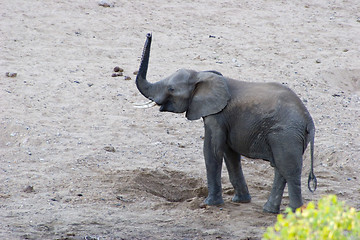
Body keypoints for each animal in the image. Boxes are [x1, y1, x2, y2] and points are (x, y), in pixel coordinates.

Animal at [134, 32, 316, 213]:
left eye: (171, 89)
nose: (149, 34)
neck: (202, 75)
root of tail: (309, 120)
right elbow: (231, 155)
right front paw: (240, 201)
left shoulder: (217, 116)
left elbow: (212, 151)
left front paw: (210, 203)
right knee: (280, 168)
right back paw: (269, 210)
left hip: (286, 134)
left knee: (289, 170)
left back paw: (295, 213)